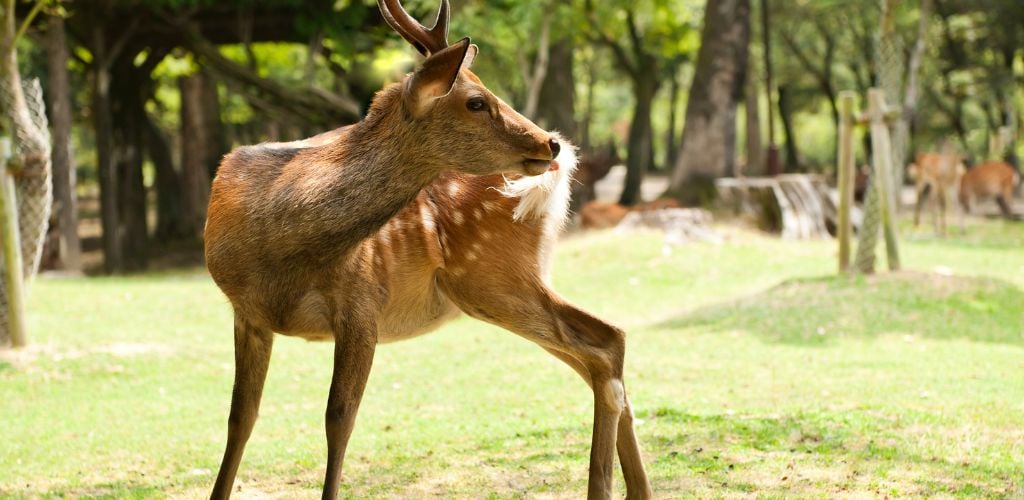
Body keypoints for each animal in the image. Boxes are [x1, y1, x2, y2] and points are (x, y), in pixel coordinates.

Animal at [202, 0, 651, 500]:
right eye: (476, 101)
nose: (549, 141)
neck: (280, 253)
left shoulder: (362, 300)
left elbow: (339, 419)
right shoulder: (246, 312)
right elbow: (240, 418)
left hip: (493, 275)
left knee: (606, 341)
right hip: (498, 284)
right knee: (601, 353)